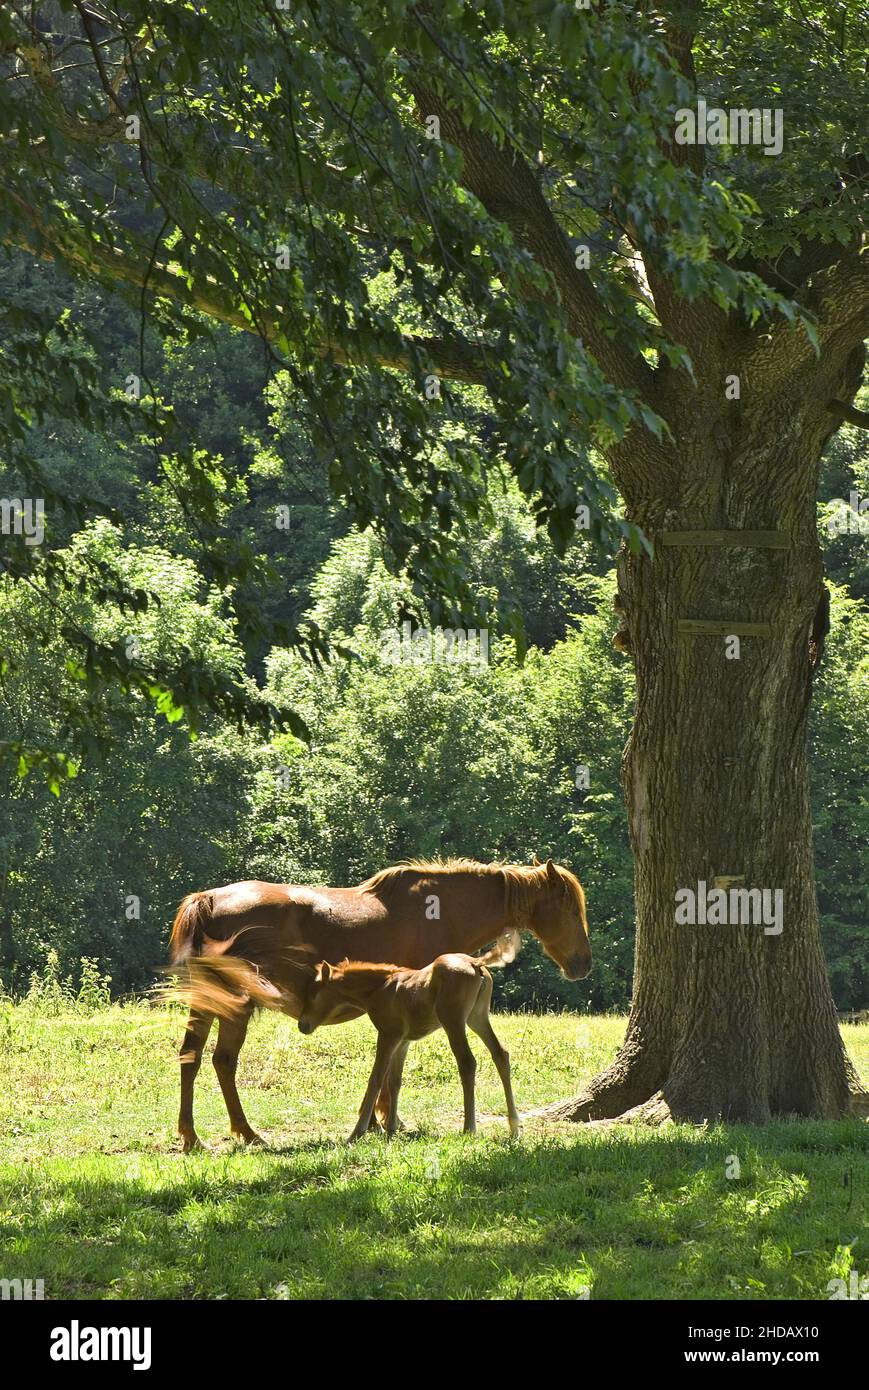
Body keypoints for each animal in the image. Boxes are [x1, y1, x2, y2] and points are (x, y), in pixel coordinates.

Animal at [294, 934, 517, 1139]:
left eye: (313, 993)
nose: (302, 1025)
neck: (379, 989)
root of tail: (475, 963)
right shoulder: (403, 1041)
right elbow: (395, 1081)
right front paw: (391, 1129)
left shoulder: (388, 1035)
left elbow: (376, 1079)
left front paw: (357, 1133)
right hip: (477, 1018)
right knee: (500, 1054)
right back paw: (514, 1127)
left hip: (453, 1021)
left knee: (467, 1062)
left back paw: (469, 1128)